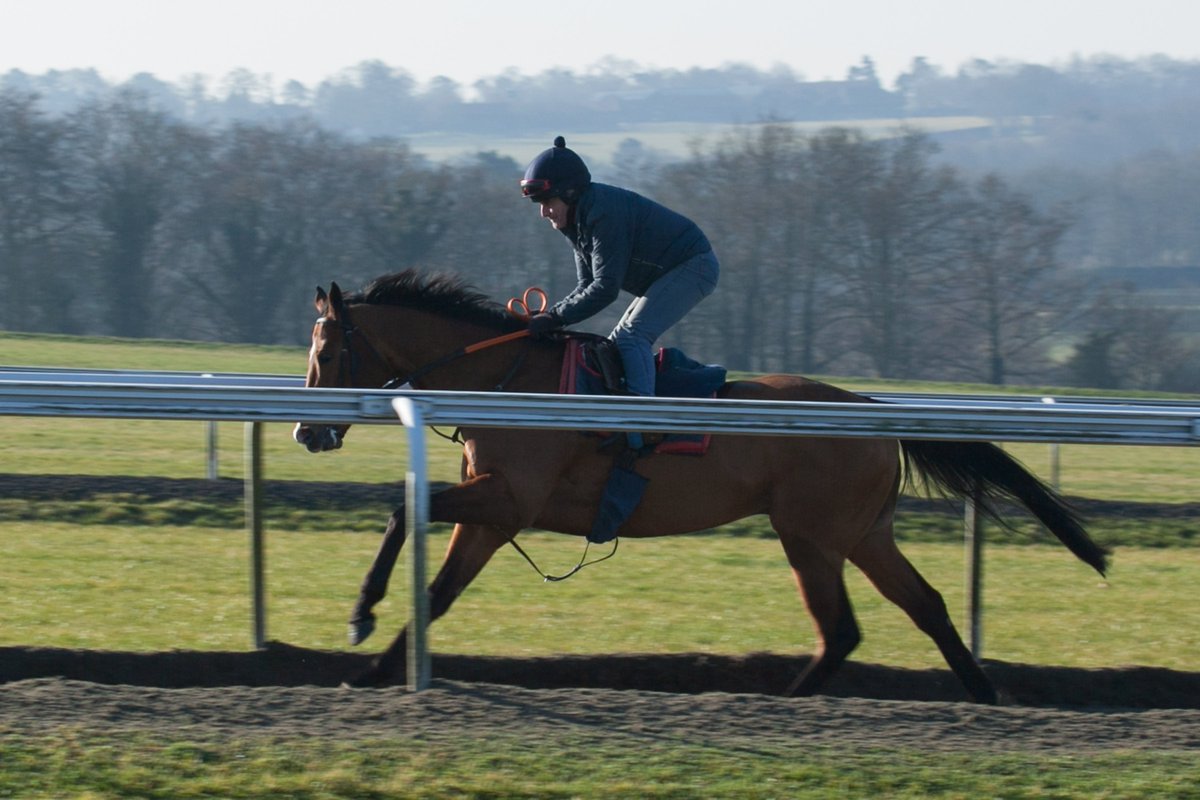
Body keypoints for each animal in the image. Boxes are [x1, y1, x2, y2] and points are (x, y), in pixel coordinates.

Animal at [293, 269, 1109, 703]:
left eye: (328, 350)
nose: (306, 431)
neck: (503, 379)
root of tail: (876, 411)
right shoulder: (493, 516)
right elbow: (437, 592)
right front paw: (372, 670)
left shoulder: (509, 499)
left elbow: (402, 510)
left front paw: (360, 617)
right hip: (863, 534)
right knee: (925, 606)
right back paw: (986, 698)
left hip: (810, 535)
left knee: (842, 628)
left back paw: (785, 702)